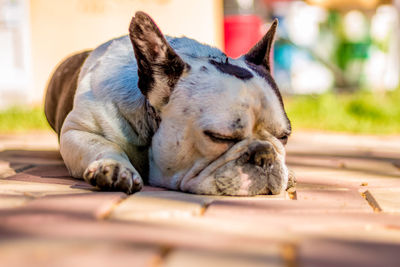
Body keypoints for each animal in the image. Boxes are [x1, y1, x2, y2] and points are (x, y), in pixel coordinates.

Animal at [44, 12, 294, 197]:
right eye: (219, 138)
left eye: (284, 137)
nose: (265, 155)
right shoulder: (78, 130)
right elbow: (102, 144)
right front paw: (114, 167)